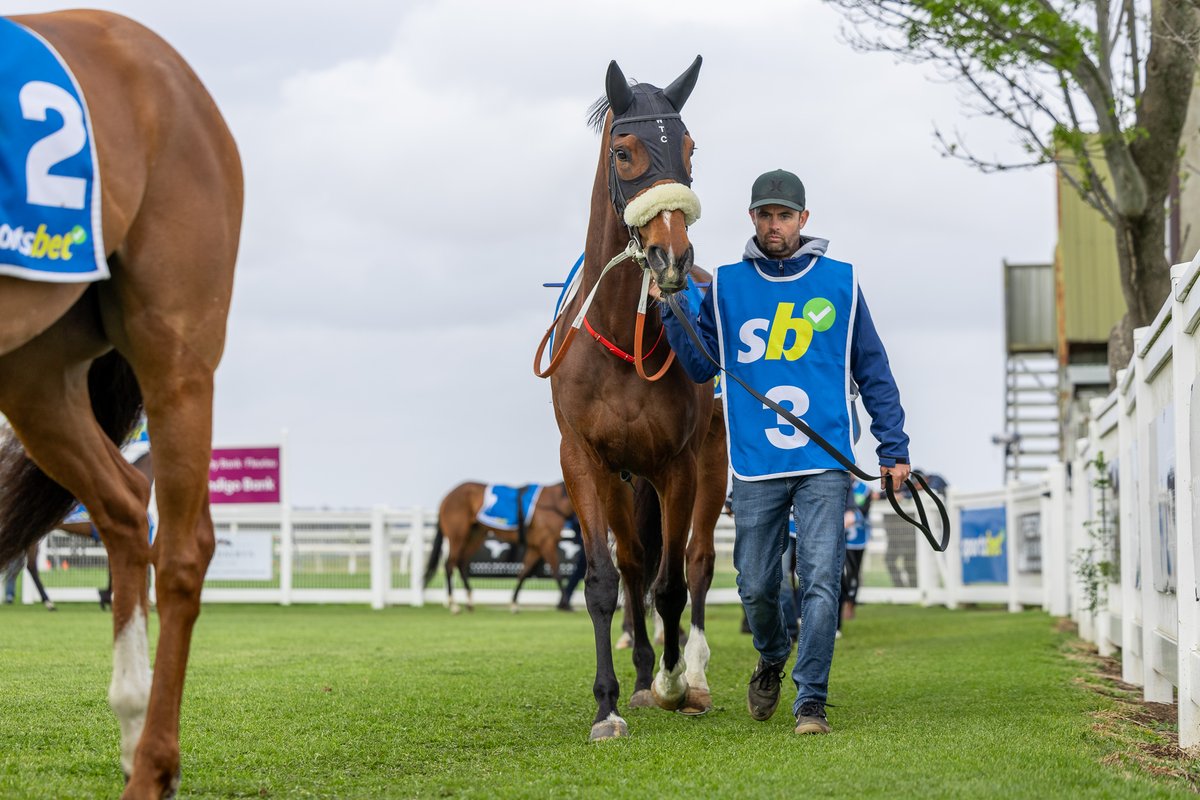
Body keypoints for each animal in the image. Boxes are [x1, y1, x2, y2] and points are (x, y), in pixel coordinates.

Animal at [0, 11, 241, 798]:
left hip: (178, 355)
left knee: (184, 549)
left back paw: (153, 762)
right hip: (34, 371)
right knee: (126, 506)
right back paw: (135, 730)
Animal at [423, 481, 576, 613]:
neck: (553, 503)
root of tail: (447, 497)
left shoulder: (536, 546)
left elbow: (524, 573)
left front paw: (514, 603)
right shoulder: (547, 543)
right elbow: (556, 572)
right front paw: (565, 604)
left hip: (475, 535)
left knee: (460, 562)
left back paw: (469, 601)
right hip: (457, 536)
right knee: (450, 564)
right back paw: (453, 604)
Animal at [536, 57, 729, 740]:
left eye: (690, 147)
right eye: (624, 151)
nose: (673, 257)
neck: (622, 333)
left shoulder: (677, 465)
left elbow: (672, 585)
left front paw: (672, 683)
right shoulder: (585, 461)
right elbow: (606, 578)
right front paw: (610, 704)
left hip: (712, 465)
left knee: (695, 563)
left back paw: (689, 675)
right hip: (626, 481)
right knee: (636, 566)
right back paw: (645, 672)